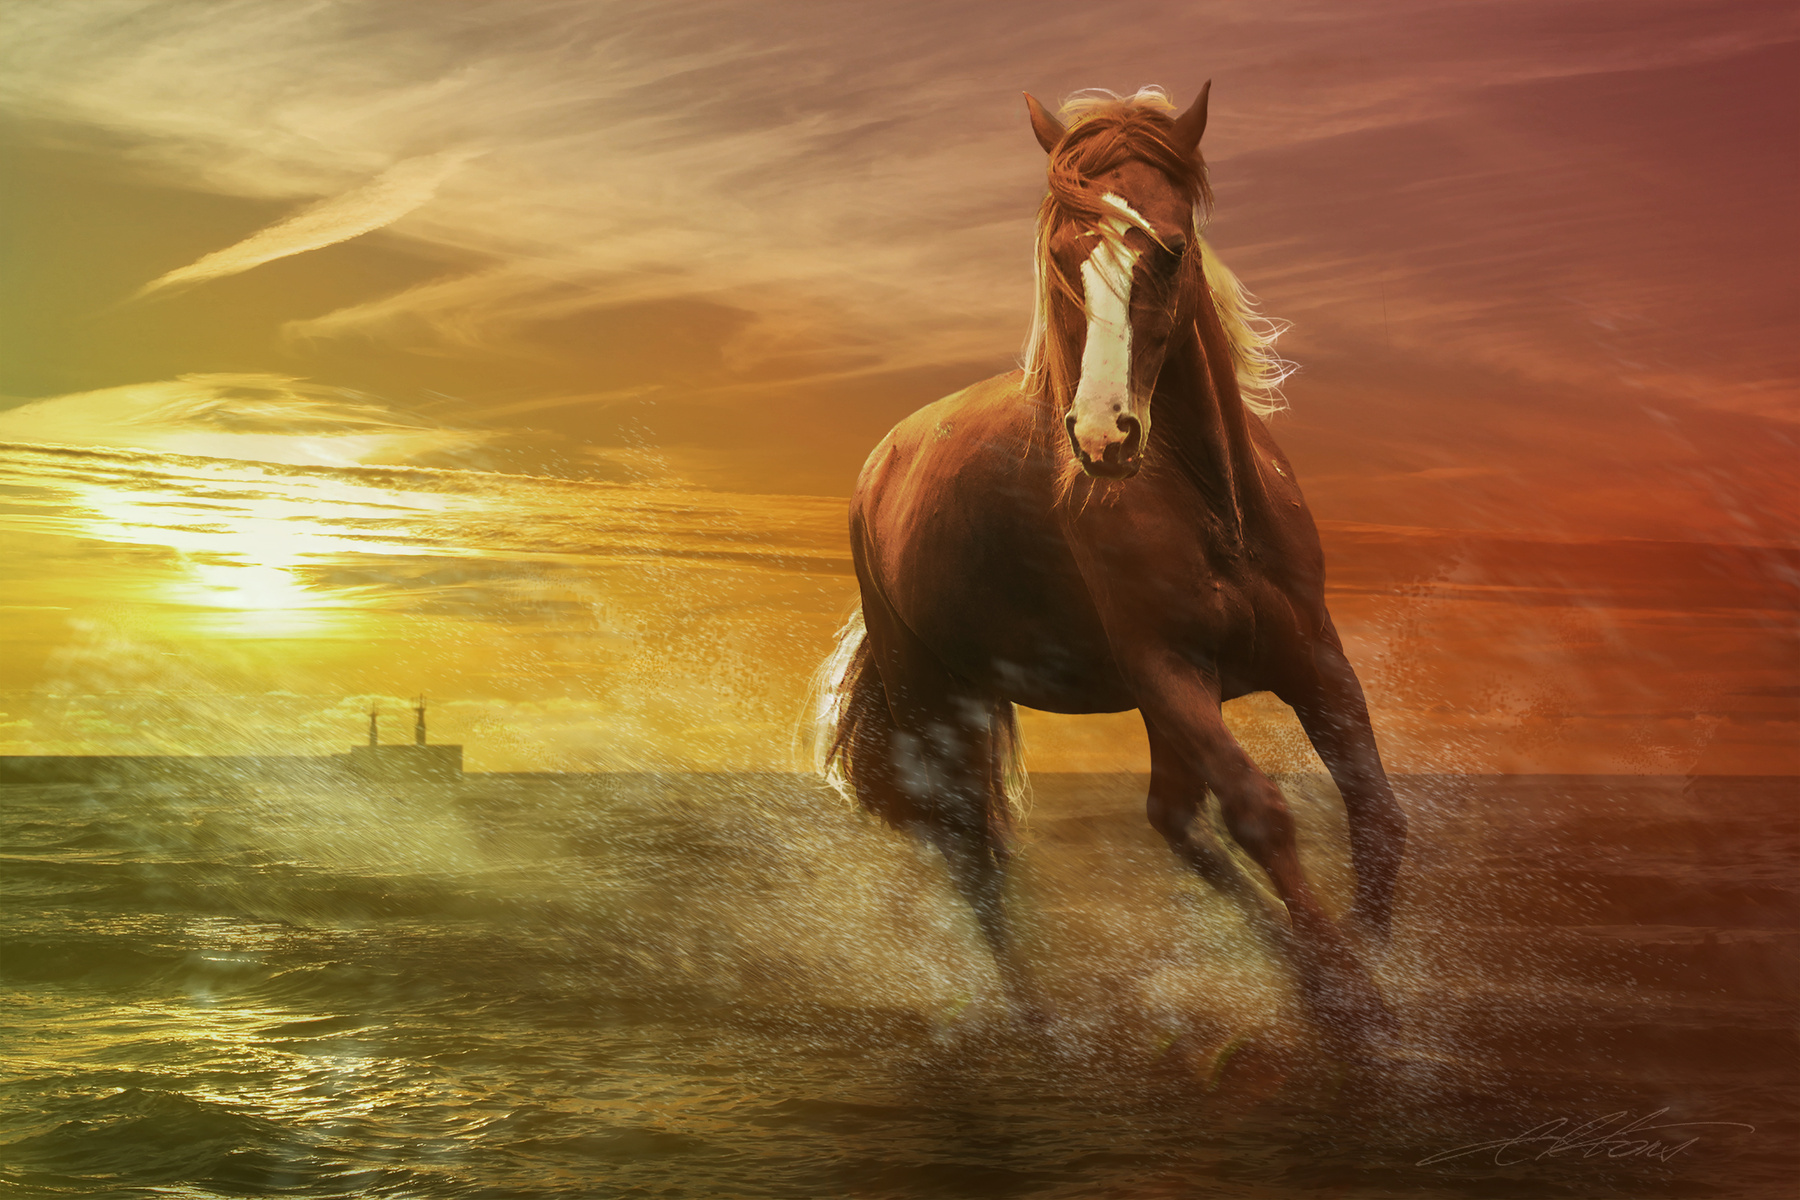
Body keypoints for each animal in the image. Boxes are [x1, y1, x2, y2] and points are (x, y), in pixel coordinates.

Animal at [814, 83, 1405, 1043]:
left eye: (1170, 249)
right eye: (1061, 256)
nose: (1102, 438)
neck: (1211, 503)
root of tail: (883, 462)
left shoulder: (1312, 657)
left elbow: (1377, 815)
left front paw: (1363, 974)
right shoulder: (1167, 670)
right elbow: (1261, 812)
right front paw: (1354, 1006)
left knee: (1165, 817)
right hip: (941, 702)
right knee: (971, 849)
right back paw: (1035, 1022)